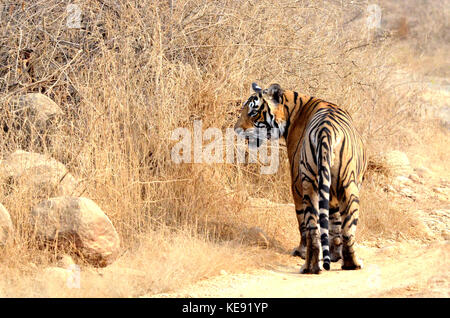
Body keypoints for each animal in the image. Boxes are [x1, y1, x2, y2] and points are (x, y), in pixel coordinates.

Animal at [234, 83, 368, 274]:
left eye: (253, 112)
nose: (236, 129)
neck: (292, 110)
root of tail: (325, 131)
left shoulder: (299, 182)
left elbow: (328, 222)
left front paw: (333, 254)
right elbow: (330, 222)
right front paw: (333, 254)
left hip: (317, 184)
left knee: (316, 228)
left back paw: (313, 265)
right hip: (341, 185)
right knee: (342, 229)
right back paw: (348, 264)